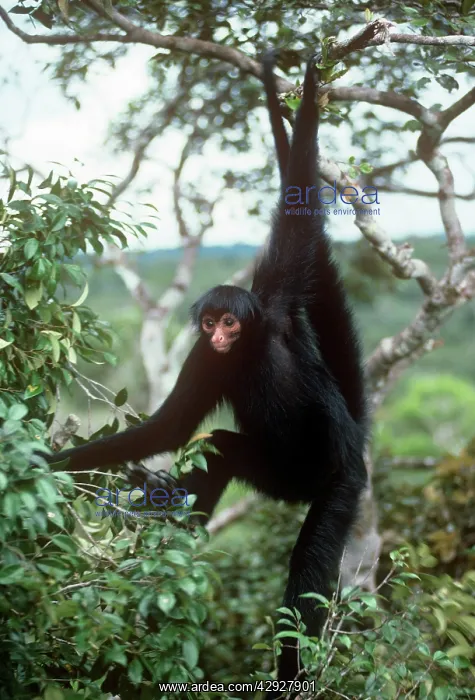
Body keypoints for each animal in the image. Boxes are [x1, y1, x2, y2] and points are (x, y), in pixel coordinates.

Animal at [43, 54, 367, 696]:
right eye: (212, 322)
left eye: (230, 321)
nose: (219, 333)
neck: (244, 352)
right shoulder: (202, 357)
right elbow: (170, 428)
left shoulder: (275, 300)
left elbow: (299, 217)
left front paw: (301, 84)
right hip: (273, 474)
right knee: (218, 445)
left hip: (339, 483)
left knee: (307, 567)